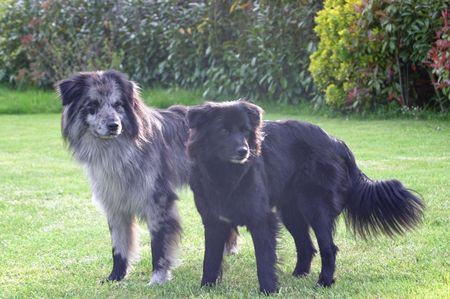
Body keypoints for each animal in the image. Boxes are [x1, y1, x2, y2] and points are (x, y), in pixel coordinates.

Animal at [185, 101, 422, 296]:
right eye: (223, 130)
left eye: (245, 130)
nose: (244, 151)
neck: (225, 174)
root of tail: (336, 142)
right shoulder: (214, 221)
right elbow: (210, 258)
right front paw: (206, 288)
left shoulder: (261, 219)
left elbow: (264, 259)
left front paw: (268, 290)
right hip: (291, 211)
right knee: (307, 246)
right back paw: (299, 274)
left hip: (315, 206)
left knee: (328, 248)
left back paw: (324, 282)